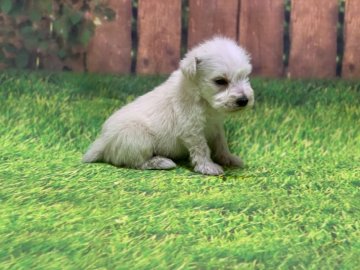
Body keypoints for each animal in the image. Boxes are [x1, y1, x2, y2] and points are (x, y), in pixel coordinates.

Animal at [83, 36, 255, 175]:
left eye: (245, 76)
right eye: (220, 81)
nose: (244, 100)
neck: (202, 99)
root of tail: (102, 142)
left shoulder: (216, 126)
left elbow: (221, 144)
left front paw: (229, 159)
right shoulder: (192, 130)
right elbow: (202, 148)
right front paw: (208, 167)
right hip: (138, 137)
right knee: (136, 162)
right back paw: (161, 162)